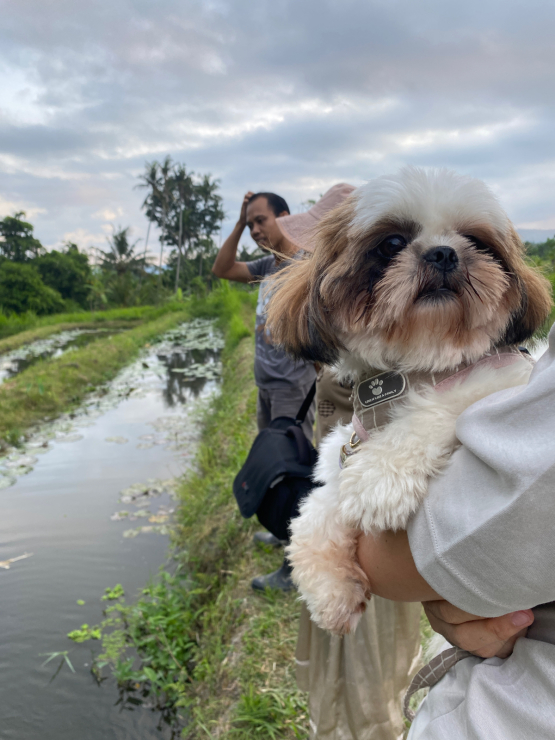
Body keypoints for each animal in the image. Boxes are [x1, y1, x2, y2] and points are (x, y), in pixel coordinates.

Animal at [266, 168, 552, 636]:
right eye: (392, 243)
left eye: (474, 240)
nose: (444, 253)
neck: (413, 366)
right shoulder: (344, 454)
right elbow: (316, 511)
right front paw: (330, 590)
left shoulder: (503, 377)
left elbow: (437, 406)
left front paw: (379, 478)